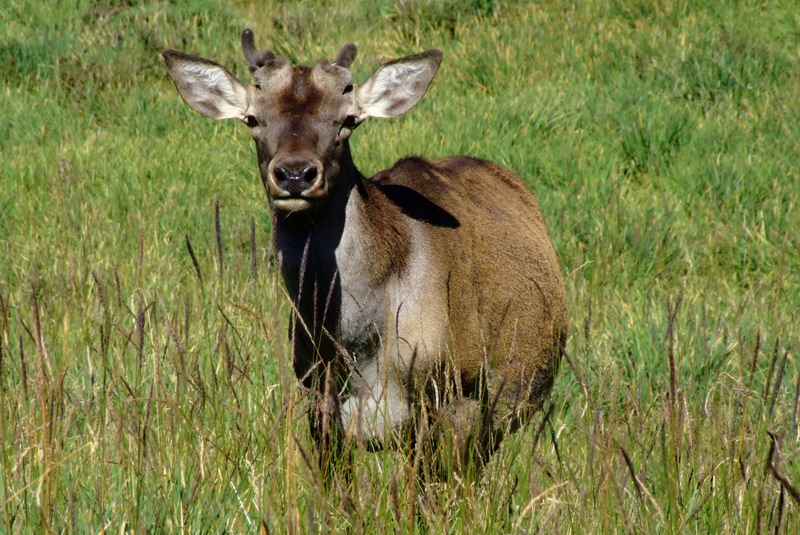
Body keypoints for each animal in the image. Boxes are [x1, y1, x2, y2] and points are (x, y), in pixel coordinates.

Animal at [161, 29, 568, 482]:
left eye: (348, 120)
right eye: (252, 119)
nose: (295, 174)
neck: (359, 348)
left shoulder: (456, 398)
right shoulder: (318, 400)